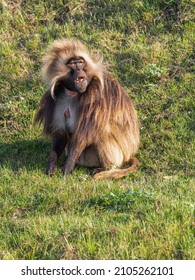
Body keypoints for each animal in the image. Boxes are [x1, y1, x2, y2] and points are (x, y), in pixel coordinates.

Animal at [34, 38, 139, 179]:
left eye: (80, 62)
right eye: (72, 64)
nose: (79, 69)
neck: (72, 93)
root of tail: (128, 155)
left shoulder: (97, 96)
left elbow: (83, 136)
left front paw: (66, 170)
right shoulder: (58, 97)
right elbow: (60, 135)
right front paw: (51, 167)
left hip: (116, 155)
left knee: (100, 133)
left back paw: (105, 168)